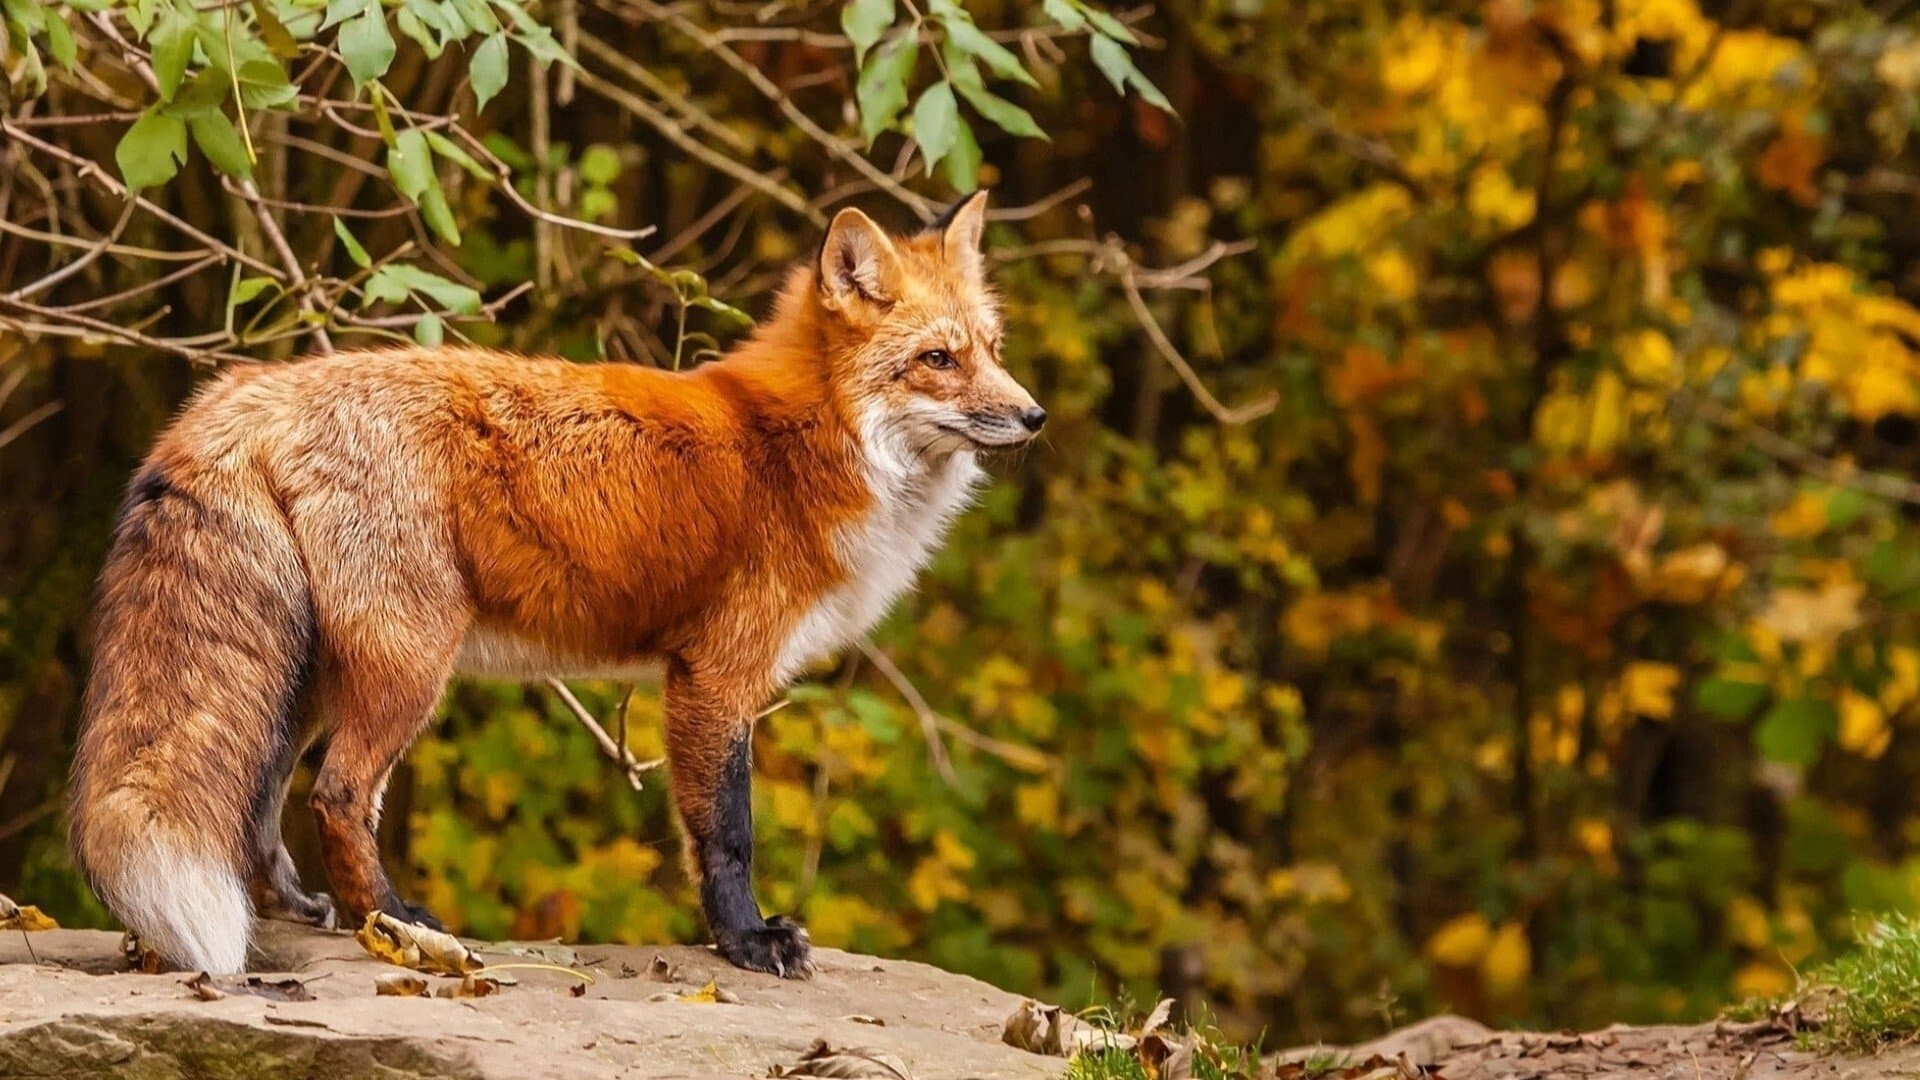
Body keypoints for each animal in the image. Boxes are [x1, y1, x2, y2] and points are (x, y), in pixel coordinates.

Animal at [67, 193, 1044, 976]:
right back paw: (394, 923)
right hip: (409, 663)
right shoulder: (715, 677)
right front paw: (748, 941)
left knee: (262, 803)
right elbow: (726, 833)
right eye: (939, 360)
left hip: (306, 672)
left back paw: (307, 911)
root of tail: (244, 391)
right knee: (336, 796)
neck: (808, 444)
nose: (1033, 415)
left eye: (994, 349)